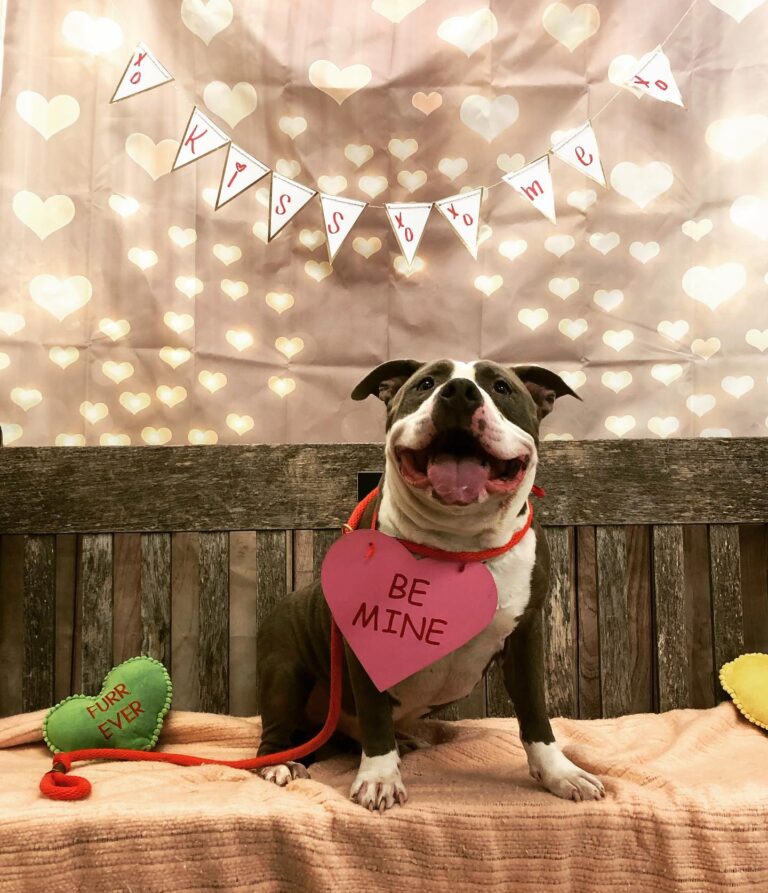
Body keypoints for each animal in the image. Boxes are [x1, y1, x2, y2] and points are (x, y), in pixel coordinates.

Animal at [256, 358, 608, 812]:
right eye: (425, 383)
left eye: (501, 387)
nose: (459, 391)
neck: (456, 543)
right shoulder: (367, 639)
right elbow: (374, 716)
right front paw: (380, 778)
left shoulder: (525, 635)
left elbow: (534, 710)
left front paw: (559, 772)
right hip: (283, 672)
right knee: (277, 734)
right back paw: (280, 763)